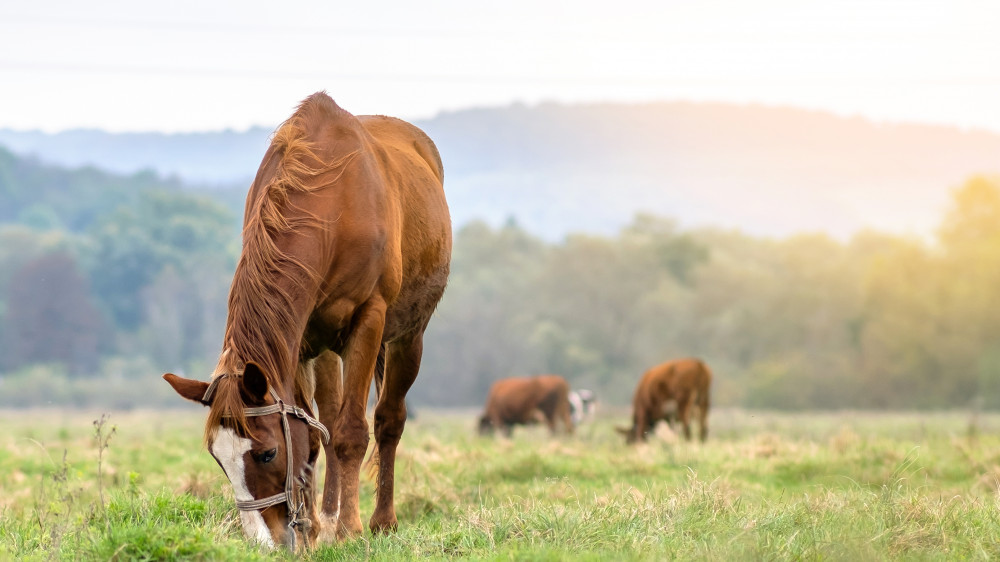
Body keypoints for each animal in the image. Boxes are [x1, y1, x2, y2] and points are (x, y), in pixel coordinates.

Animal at [163, 92, 450, 548]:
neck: (332, 204)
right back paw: (328, 516)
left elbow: (352, 432)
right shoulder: (295, 342)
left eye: (266, 453)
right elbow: (312, 434)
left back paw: (379, 520)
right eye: (218, 458)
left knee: (389, 419)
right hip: (325, 347)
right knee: (328, 418)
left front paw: (349, 529)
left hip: (408, 336)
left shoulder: (369, 320)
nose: (264, 542)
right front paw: (314, 529)